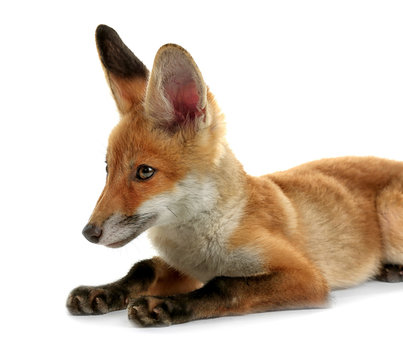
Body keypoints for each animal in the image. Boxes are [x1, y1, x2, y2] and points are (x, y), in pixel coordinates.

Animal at [67, 23, 403, 326]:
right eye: (108, 169)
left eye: (144, 172)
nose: (88, 232)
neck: (201, 245)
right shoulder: (184, 267)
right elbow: (144, 267)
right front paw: (102, 292)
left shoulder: (306, 276)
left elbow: (225, 285)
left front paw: (164, 306)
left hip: (388, 212)